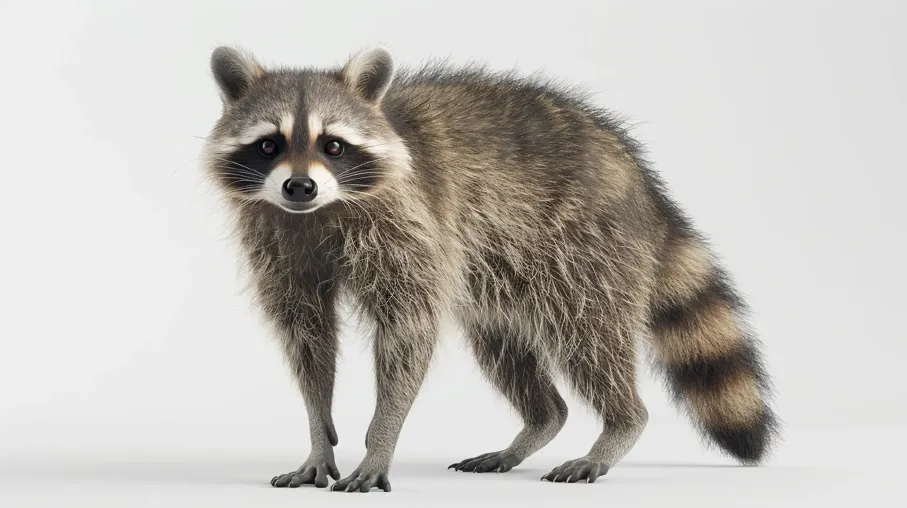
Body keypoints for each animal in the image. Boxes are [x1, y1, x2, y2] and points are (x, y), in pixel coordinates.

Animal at [201, 46, 779, 492]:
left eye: (334, 145)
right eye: (268, 144)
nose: (300, 187)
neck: (320, 210)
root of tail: (643, 182)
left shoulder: (409, 222)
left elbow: (408, 329)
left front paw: (381, 438)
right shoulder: (278, 239)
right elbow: (307, 334)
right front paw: (319, 433)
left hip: (586, 247)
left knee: (588, 335)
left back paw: (620, 424)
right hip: (501, 271)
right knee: (503, 344)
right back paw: (541, 420)